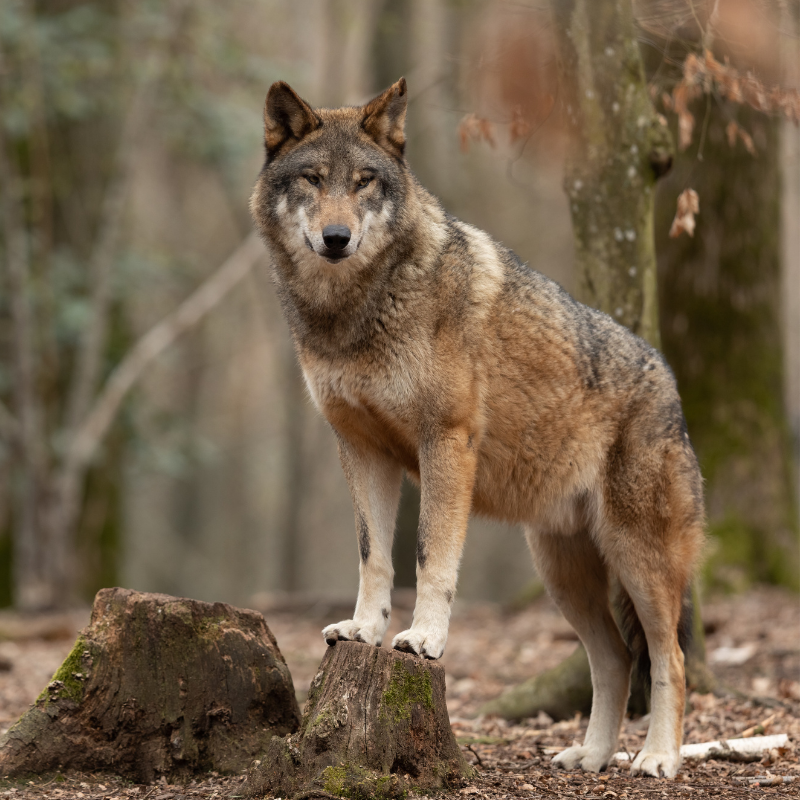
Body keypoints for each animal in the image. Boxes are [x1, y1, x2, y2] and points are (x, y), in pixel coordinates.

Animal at [250, 78, 705, 779]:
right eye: (313, 179)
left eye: (363, 182)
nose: (336, 237)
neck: (354, 311)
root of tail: (669, 379)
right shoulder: (360, 450)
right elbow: (375, 557)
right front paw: (362, 631)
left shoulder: (446, 442)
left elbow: (430, 556)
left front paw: (423, 640)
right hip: (562, 574)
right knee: (615, 660)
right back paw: (592, 756)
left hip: (639, 561)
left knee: (669, 660)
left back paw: (657, 759)